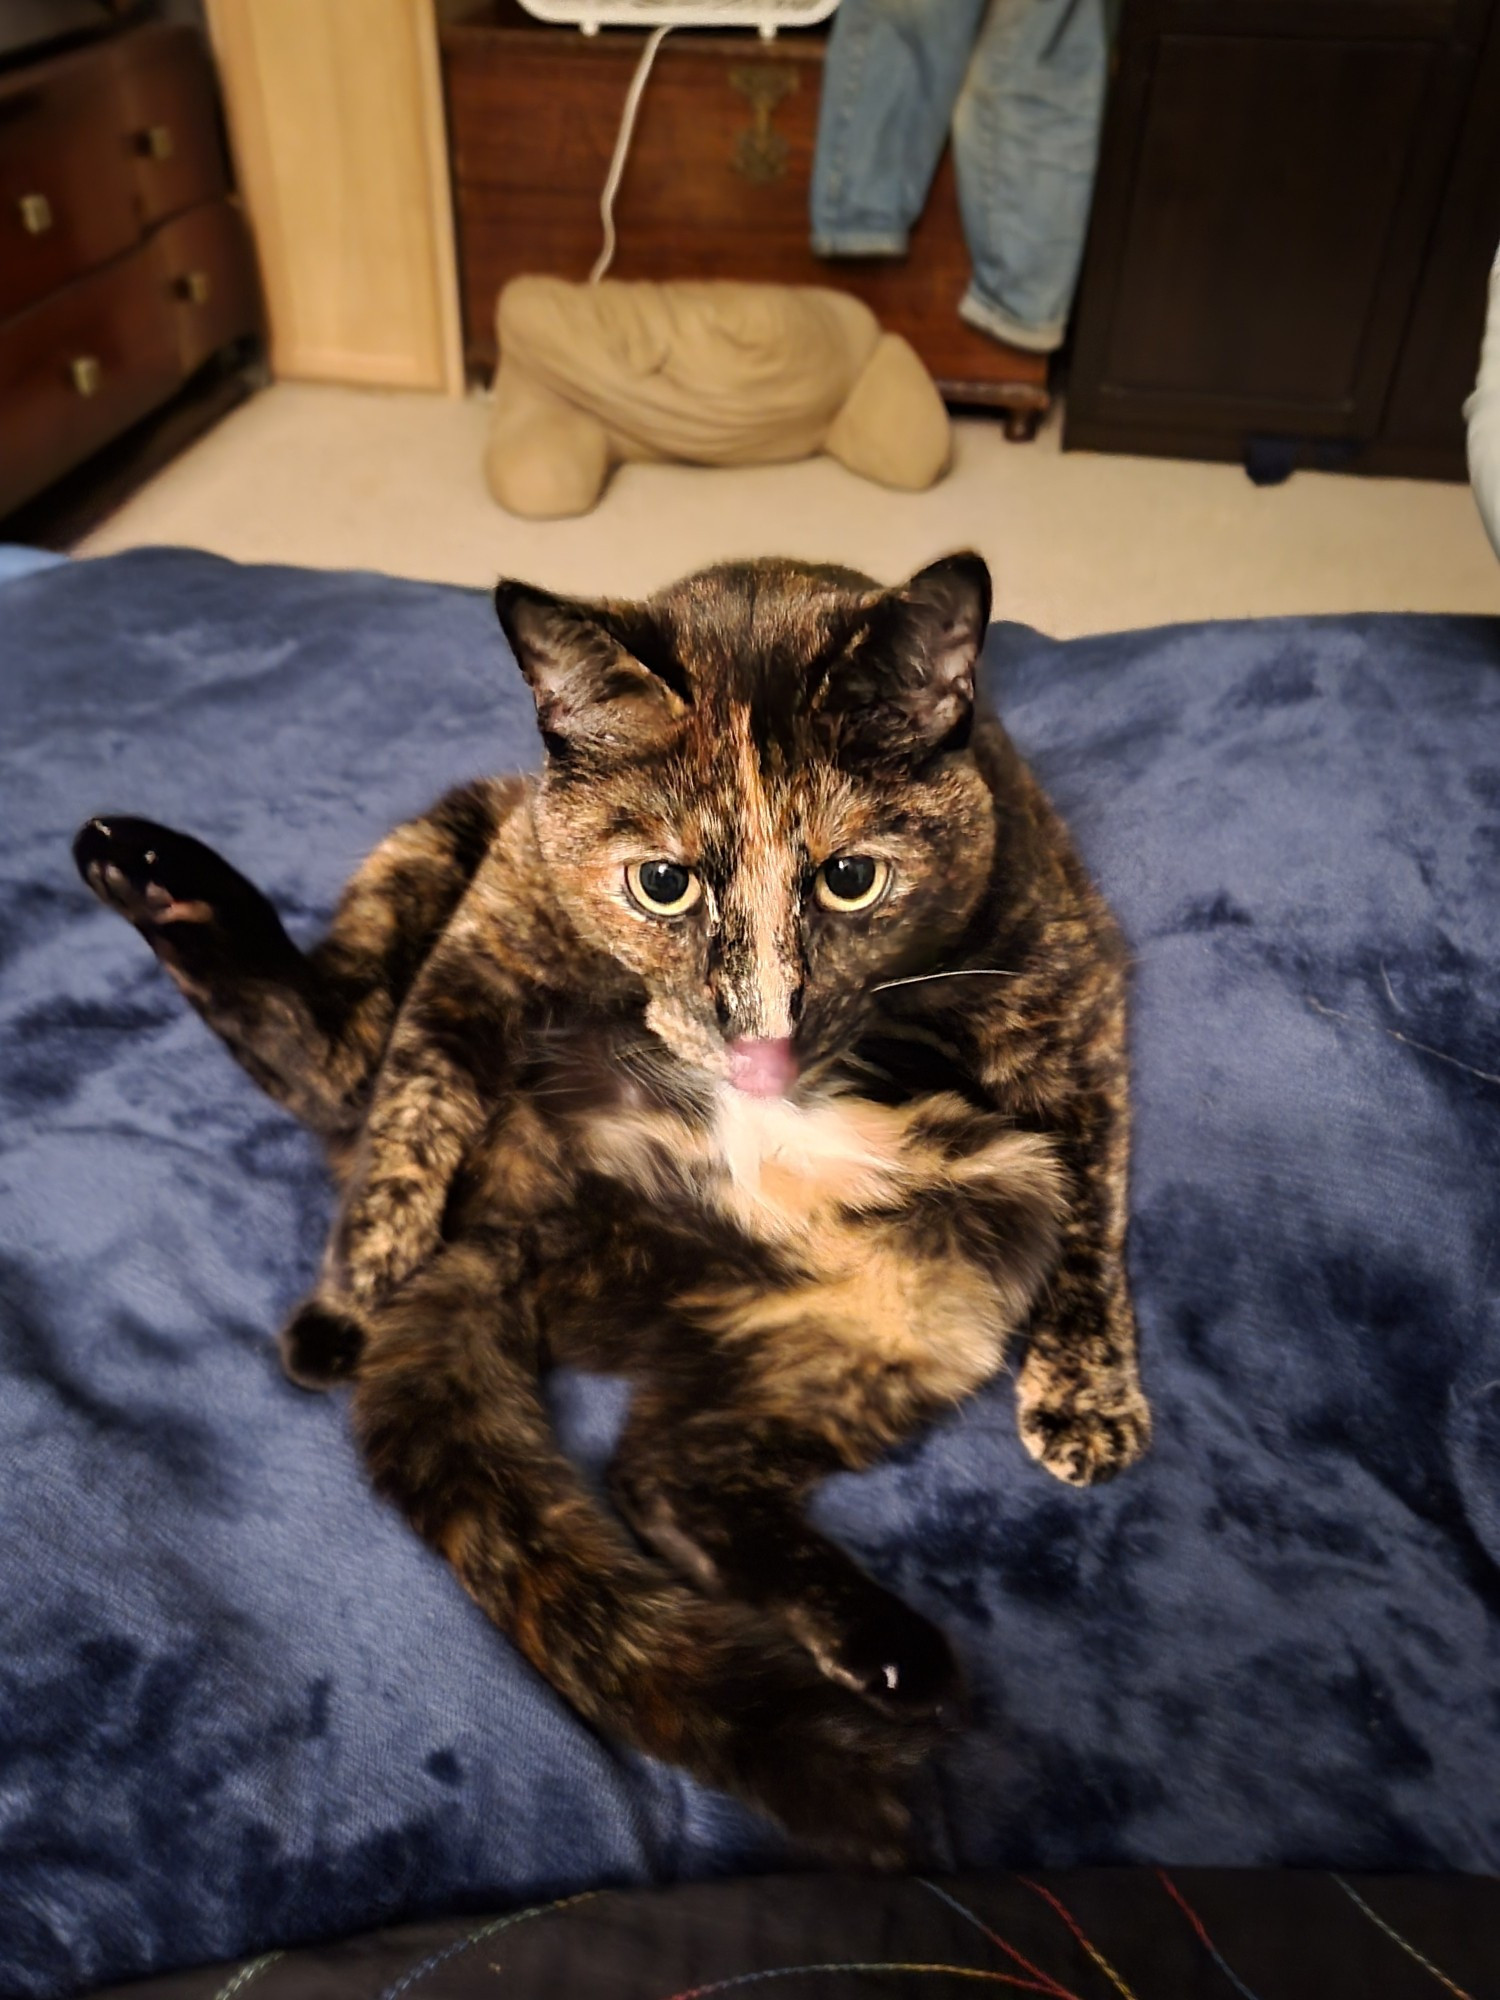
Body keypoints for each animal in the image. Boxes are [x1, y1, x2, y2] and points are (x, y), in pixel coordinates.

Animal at [73, 552, 1152, 1856]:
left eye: (851, 878)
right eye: (662, 883)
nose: (760, 1040)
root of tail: (521, 1226)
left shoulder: (1064, 994)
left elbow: (1093, 1202)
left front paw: (1088, 1393)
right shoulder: (486, 942)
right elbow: (411, 1109)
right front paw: (356, 1287)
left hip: (936, 1271)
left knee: (667, 1471)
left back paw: (894, 1655)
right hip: (451, 828)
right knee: (335, 1067)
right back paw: (148, 873)